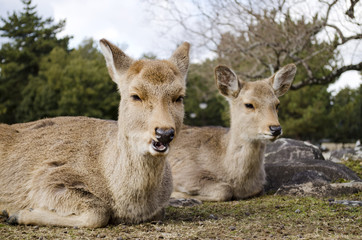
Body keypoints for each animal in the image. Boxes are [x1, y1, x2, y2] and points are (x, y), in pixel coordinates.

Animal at [0, 39, 191, 227]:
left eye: (179, 97)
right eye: (135, 95)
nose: (164, 132)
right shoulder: (46, 177)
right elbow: (98, 213)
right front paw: (17, 213)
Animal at [168, 63, 296, 201]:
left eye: (277, 104)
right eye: (249, 104)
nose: (275, 128)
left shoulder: (258, 187)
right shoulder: (185, 173)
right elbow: (224, 190)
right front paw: (176, 194)